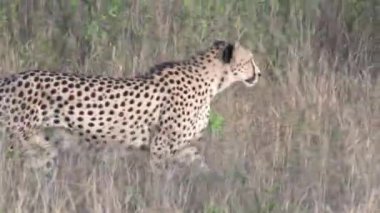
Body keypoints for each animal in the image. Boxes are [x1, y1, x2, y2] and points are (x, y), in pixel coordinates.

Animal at [0, 40, 262, 173]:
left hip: (42, 148)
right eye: (249, 60)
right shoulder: (160, 147)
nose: (259, 73)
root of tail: (10, 79)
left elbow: (202, 167)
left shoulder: (183, 148)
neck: (212, 81)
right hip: (20, 143)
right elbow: (160, 181)